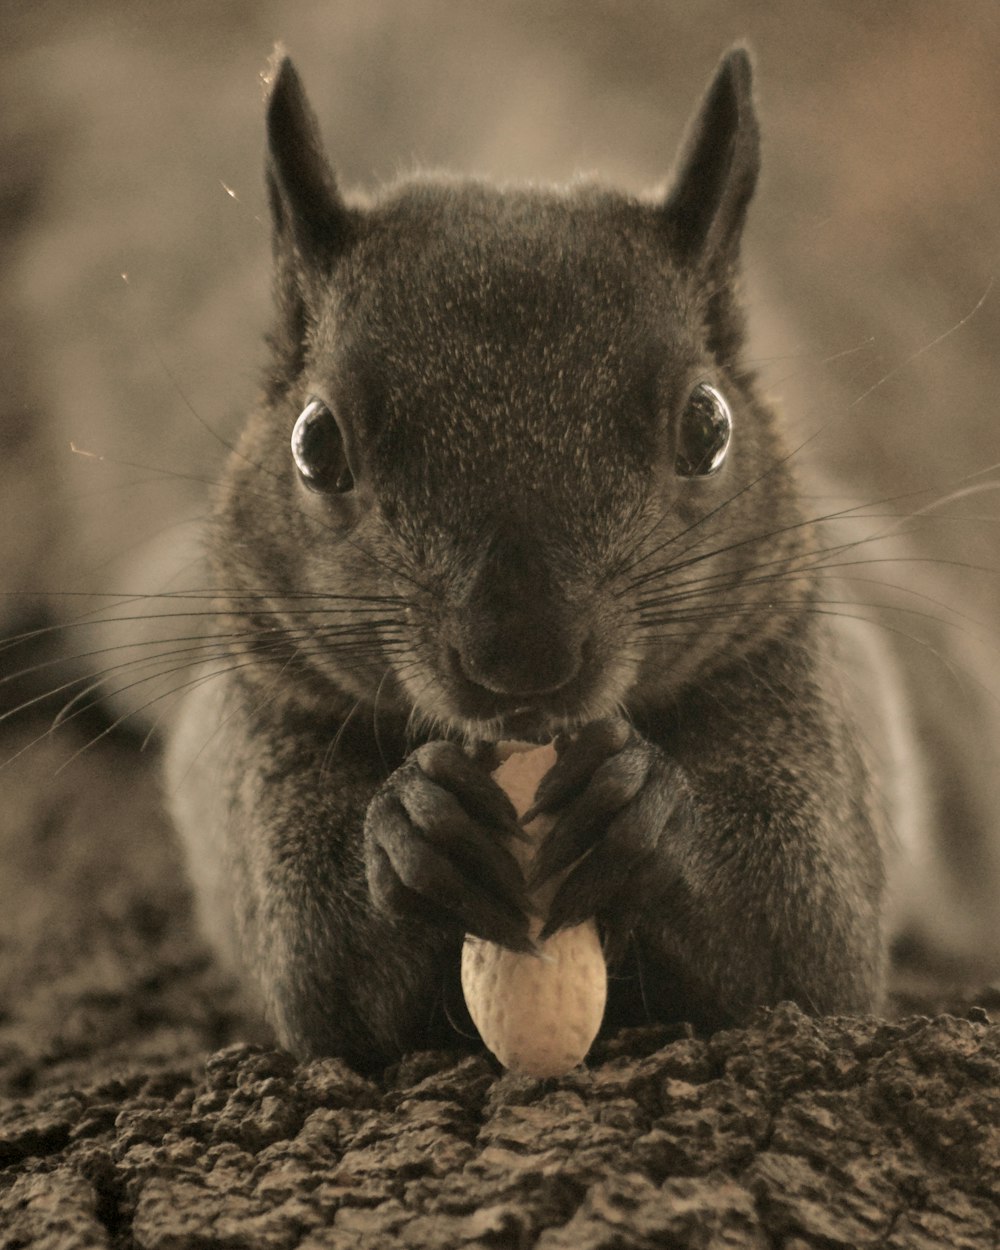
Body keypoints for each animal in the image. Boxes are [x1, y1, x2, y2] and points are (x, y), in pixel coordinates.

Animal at [160, 44, 1000, 1070]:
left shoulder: (804, 685)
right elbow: (325, 983)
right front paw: (410, 830)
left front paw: (643, 807)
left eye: (709, 427)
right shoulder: (265, 727)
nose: (523, 657)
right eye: (315, 443)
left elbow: (805, 941)